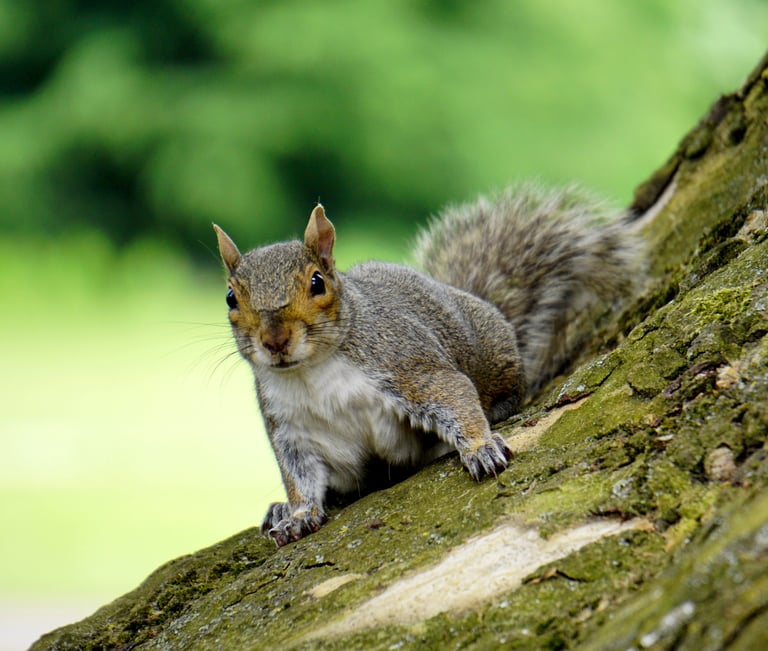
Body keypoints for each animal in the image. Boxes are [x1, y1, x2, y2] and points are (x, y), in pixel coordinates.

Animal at [213, 183, 641, 546]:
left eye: (318, 282)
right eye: (231, 298)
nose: (274, 340)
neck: (312, 372)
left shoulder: (407, 364)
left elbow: (453, 394)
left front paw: (481, 448)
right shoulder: (291, 428)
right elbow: (299, 476)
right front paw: (299, 514)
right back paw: (279, 509)